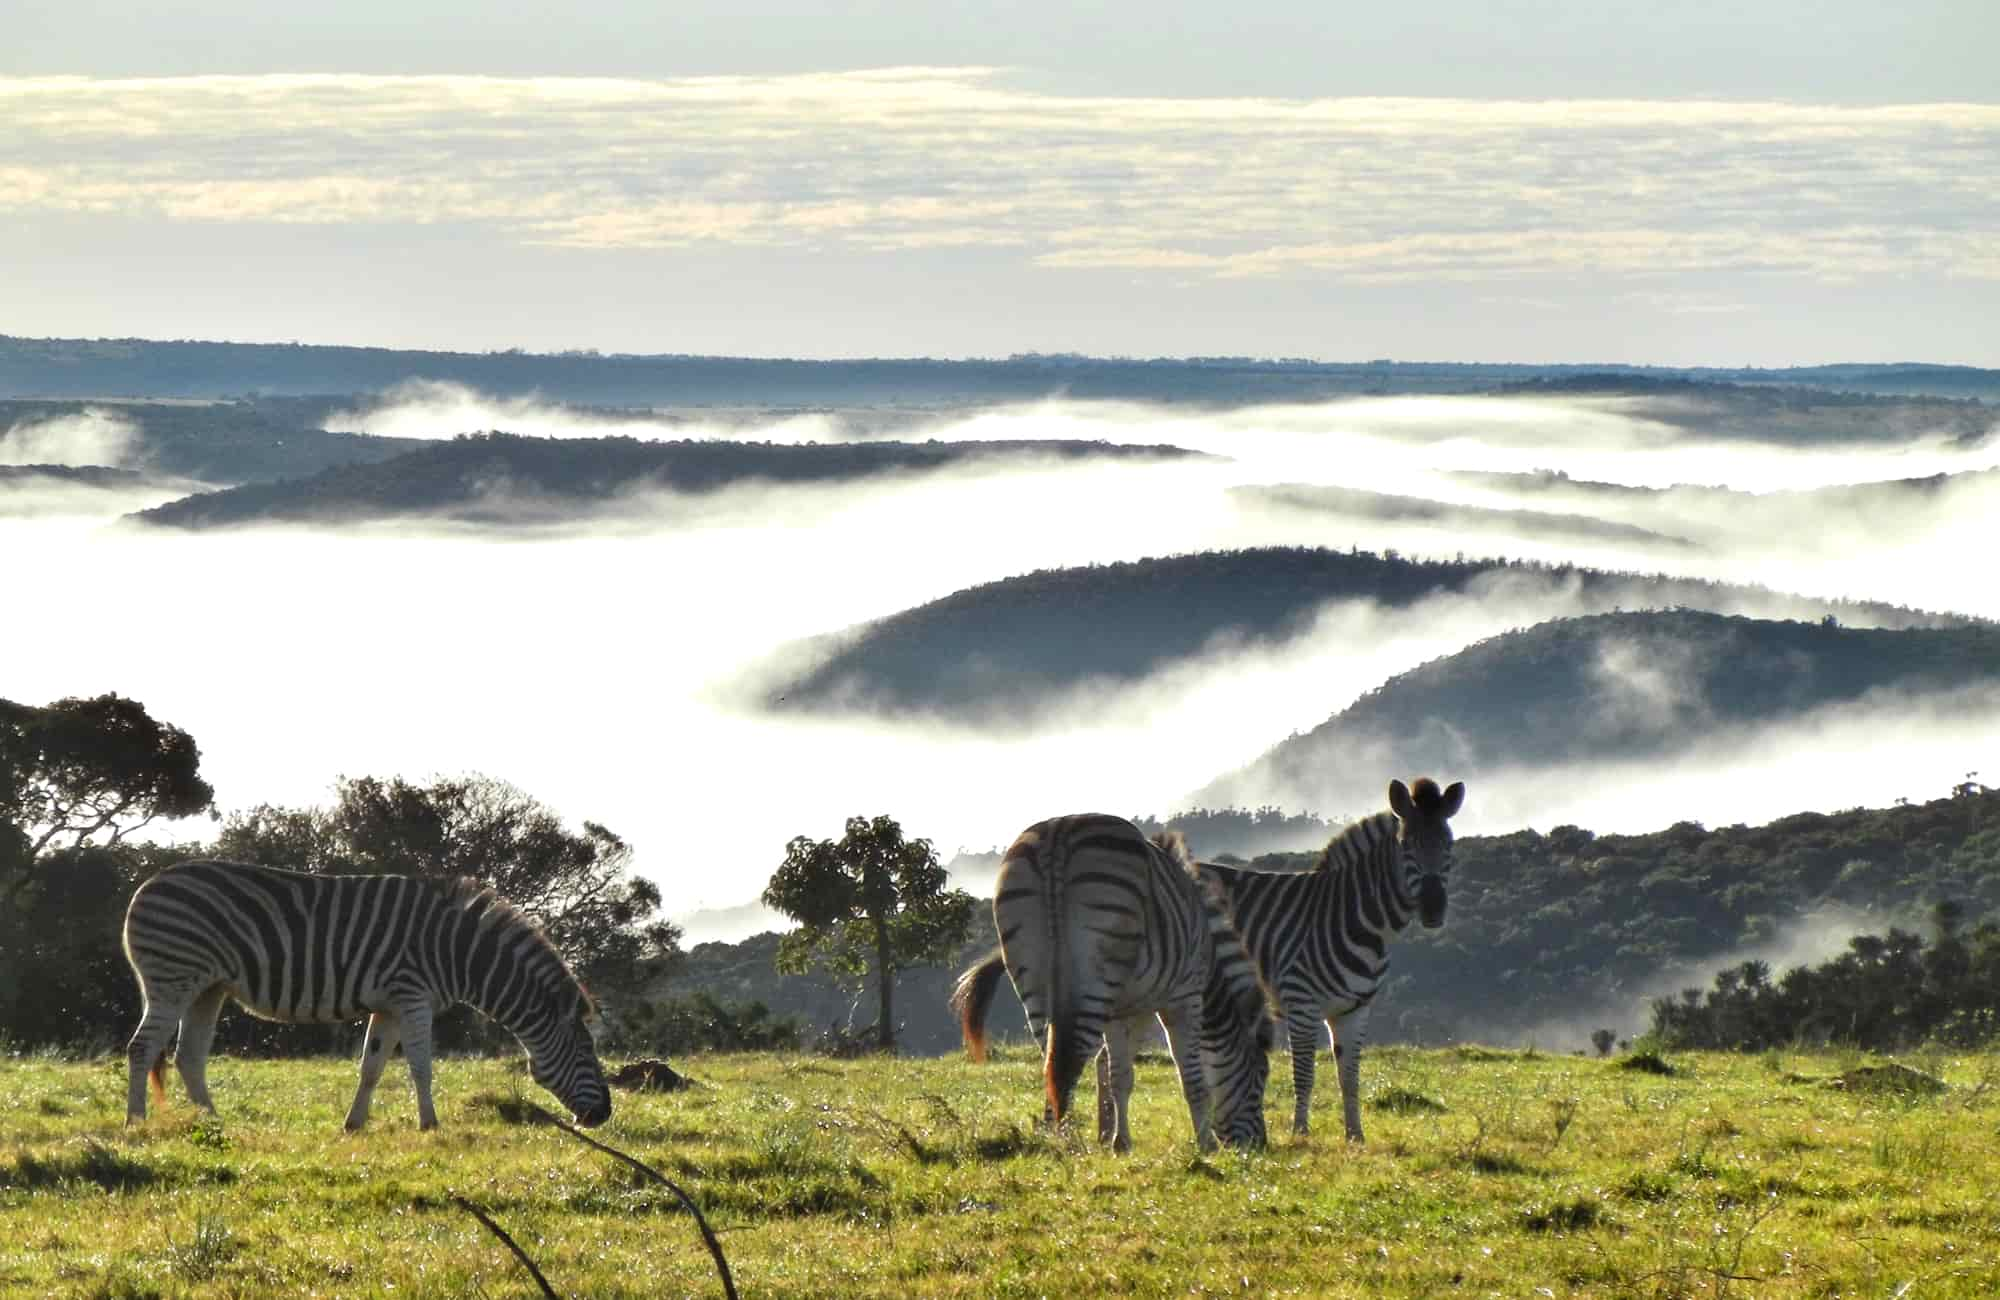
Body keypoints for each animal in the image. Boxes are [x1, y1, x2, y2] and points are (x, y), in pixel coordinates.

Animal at [123, 860, 608, 1120]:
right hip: (173, 977)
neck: (457, 952)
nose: (604, 1115)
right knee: (142, 1048)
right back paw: (136, 1122)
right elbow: (421, 1067)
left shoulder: (390, 1004)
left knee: (188, 1057)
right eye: (586, 1052)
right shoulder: (413, 997)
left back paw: (213, 1122)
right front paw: (431, 1125)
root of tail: (147, 884)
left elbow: (371, 1067)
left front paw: (354, 1125)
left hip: (208, 987)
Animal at [948, 816, 1264, 1152]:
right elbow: (1189, 1076)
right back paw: (1067, 1141)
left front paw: (1117, 1139)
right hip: (1098, 973)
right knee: (1070, 1058)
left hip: (1031, 972)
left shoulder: (1131, 1008)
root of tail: (1058, 833)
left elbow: (1119, 1074)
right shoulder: (1183, 996)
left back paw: (1057, 1136)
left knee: (1051, 1059)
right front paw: (1204, 1144)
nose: (1259, 1146)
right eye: (1259, 1080)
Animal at [1192, 776, 1464, 1136]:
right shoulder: (1301, 1003)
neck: (1362, 922)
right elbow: (1304, 1075)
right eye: (1407, 847)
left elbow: (1349, 1077)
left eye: (1449, 846)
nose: (1433, 910)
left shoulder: (1354, 1010)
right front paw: (1300, 1133)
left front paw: (1355, 1135)